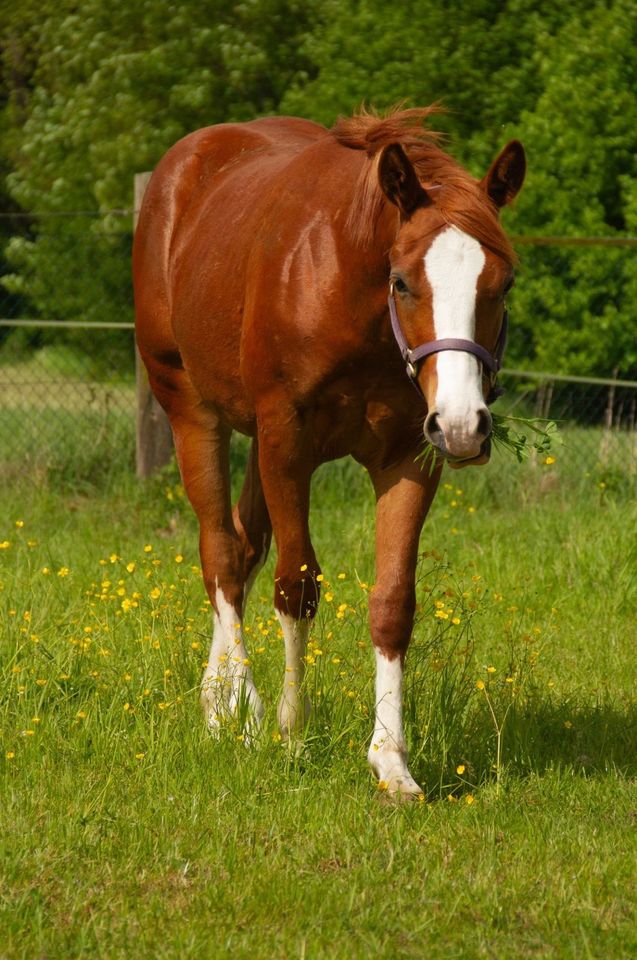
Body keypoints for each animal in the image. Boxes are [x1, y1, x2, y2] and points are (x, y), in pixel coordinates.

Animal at [133, 107, 520, 796]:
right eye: (402, 281)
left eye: (502, 283)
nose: (462, 425)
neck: (346, 288)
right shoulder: (286, 443)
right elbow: (297, 587)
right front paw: (288, 731)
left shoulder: (408, 458)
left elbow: (393, 603)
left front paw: (391, 762)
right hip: (190, 410)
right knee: (221, 557)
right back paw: (242, 707)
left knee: (241, 549)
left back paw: (215, 700)